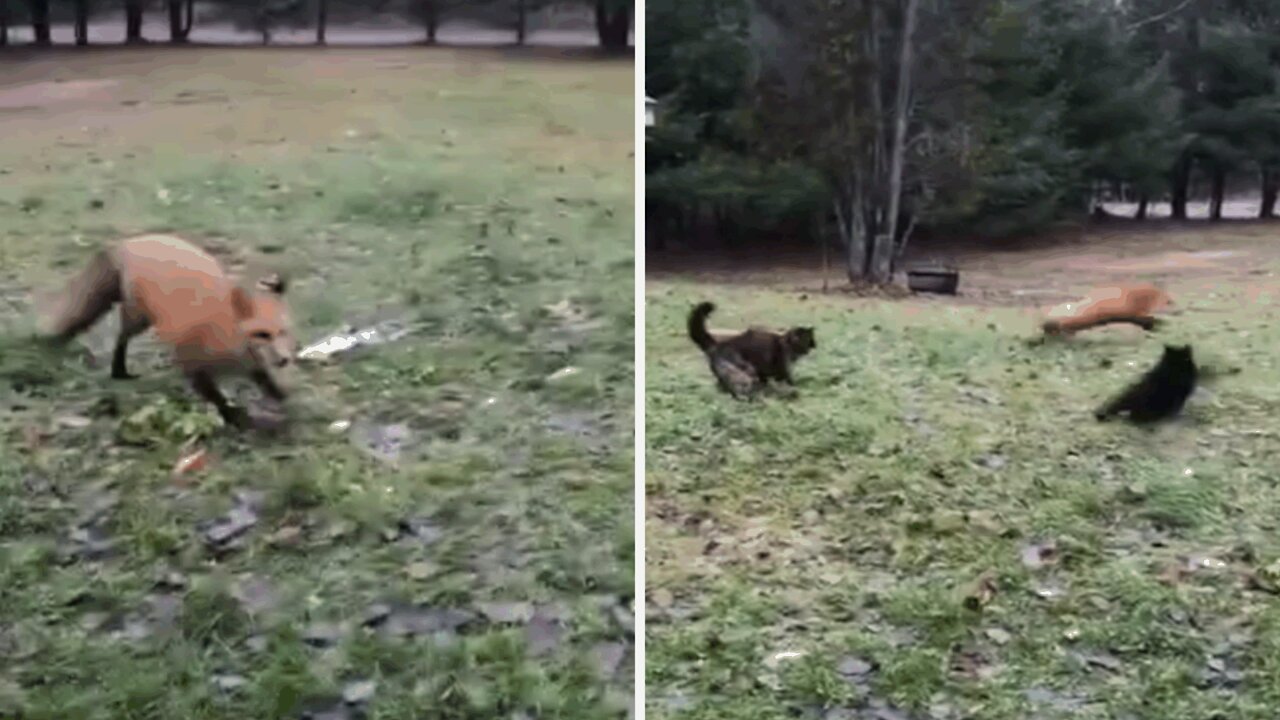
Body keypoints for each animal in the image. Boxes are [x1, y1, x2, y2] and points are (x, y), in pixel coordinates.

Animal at [38, 234, 299, 425]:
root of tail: (133, 240)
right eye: (262, 334)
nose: (285, 359)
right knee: (121, 339)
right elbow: (215, 397)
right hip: (139, 320)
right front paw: (234, 418)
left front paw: (282, 396)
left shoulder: (255, 365)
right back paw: (119, 371)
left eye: (284, 332)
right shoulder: (191, 365)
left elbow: (267, 381)